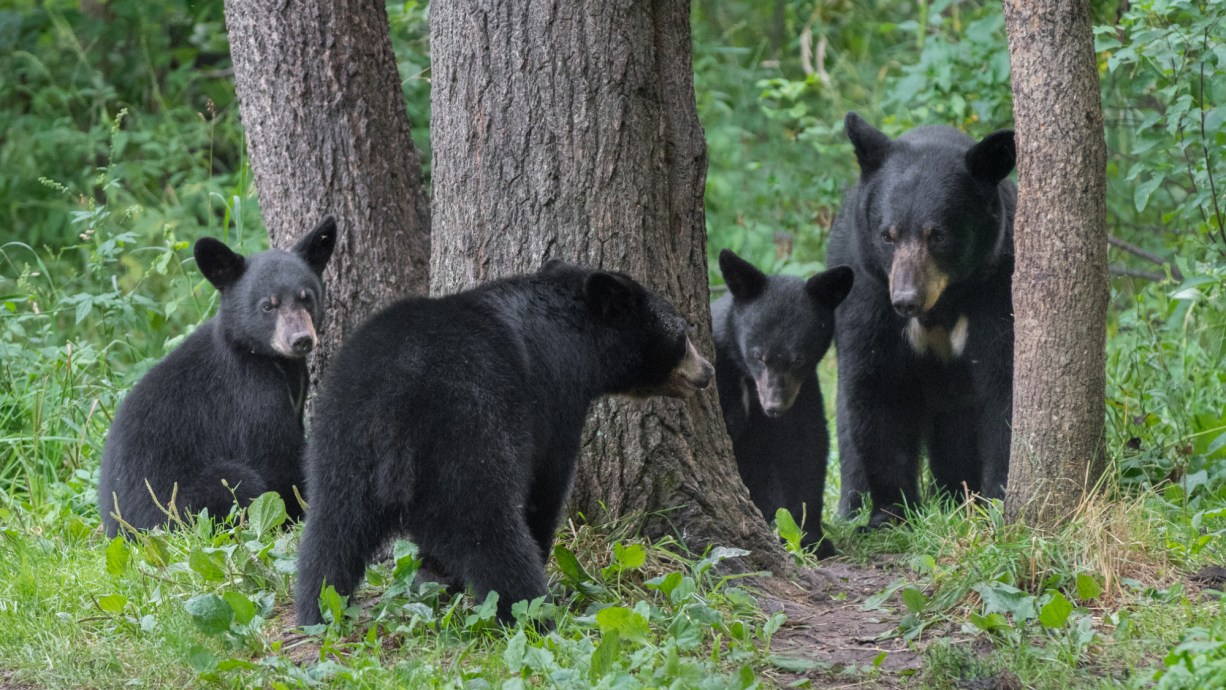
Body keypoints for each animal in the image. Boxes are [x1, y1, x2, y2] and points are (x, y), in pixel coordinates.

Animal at [98, 218, 338, 536]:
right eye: (267, 306)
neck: (267, 358)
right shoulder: (250, 395)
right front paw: (300, 511)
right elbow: (274, 454)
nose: (300, 340)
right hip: (186, 499)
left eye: (305, 298)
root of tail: (120, 530)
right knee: (236, 484)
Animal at [295, 259, 715, 627]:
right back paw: (532, 613)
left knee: (331, 533)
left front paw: (433, 577)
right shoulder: (555, 397)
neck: (573, 335)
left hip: (341, 442)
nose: (707, 371)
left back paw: (319, 609)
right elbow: (548, 482)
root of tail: (394, 406)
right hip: (465, 436)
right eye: (683, 334)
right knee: (489, 531)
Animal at [711, 251, 853, 558]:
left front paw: (812, 538)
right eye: (759, 355)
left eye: (798, 358)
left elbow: (805, 449)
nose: (774, 406)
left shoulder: (803, 392)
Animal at [828, 113, 1020, 526]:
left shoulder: (997, 287)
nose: (906, 300)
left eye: (938, 235)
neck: (942, 304)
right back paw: (851, 508)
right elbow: (879, 388)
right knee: (846, 424)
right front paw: (891, 513)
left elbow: (1004, 385)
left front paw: (998, 500)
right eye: (888, 235)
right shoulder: (869, 293)